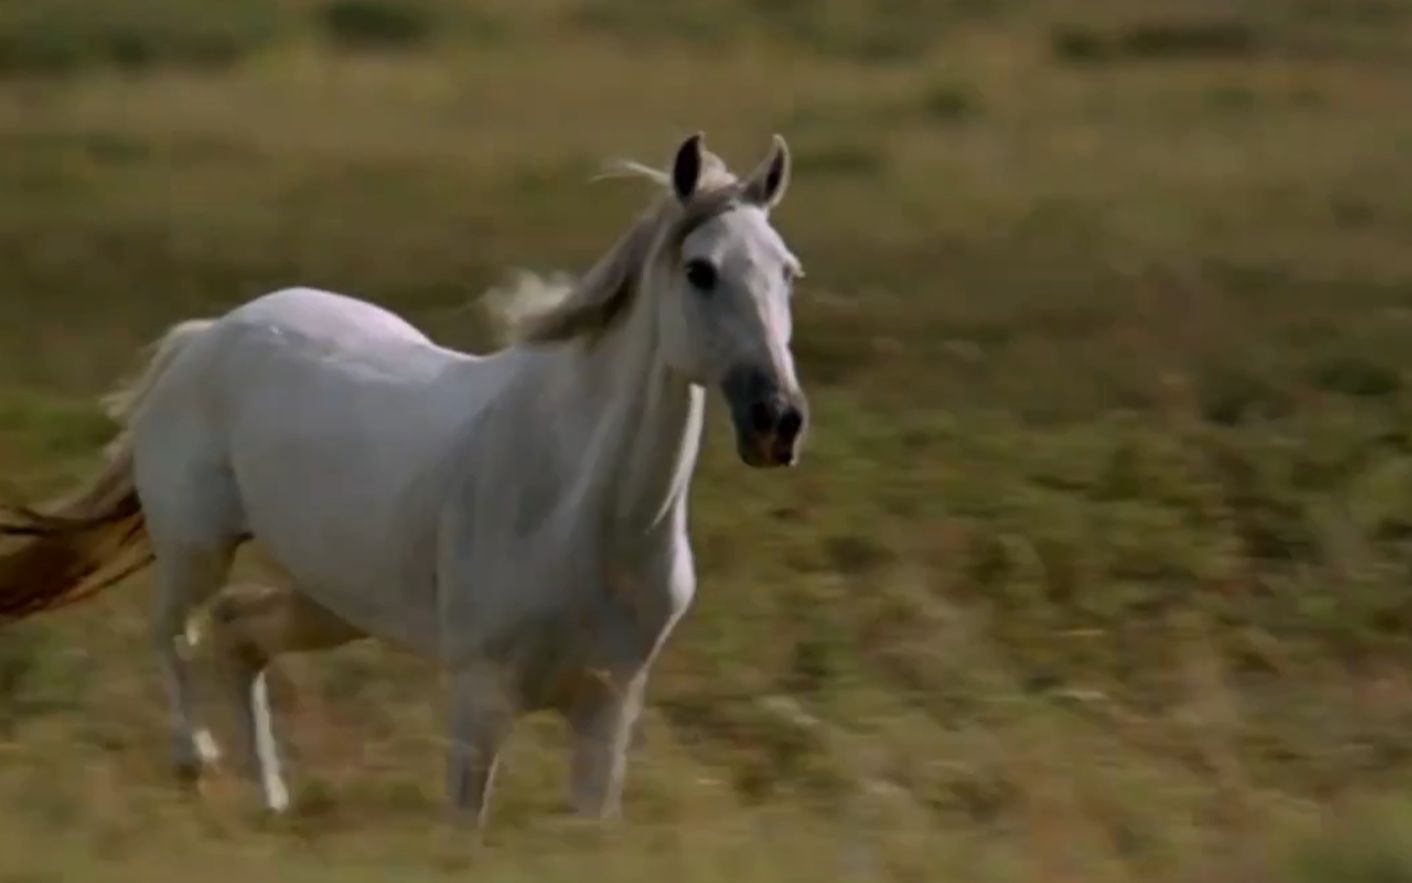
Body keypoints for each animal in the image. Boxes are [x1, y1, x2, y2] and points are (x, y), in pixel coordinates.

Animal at [0, 132, 807, 825]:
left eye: (788, 273)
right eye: (700, 271)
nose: (778, 422)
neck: (578, 507)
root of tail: (209, 334)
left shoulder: (608, 707)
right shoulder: (481, 696)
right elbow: (464, 828)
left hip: (334, 597)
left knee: (239, 633)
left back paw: (272, 804)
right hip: (198, 545)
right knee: (177, 629)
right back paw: (193, 764)